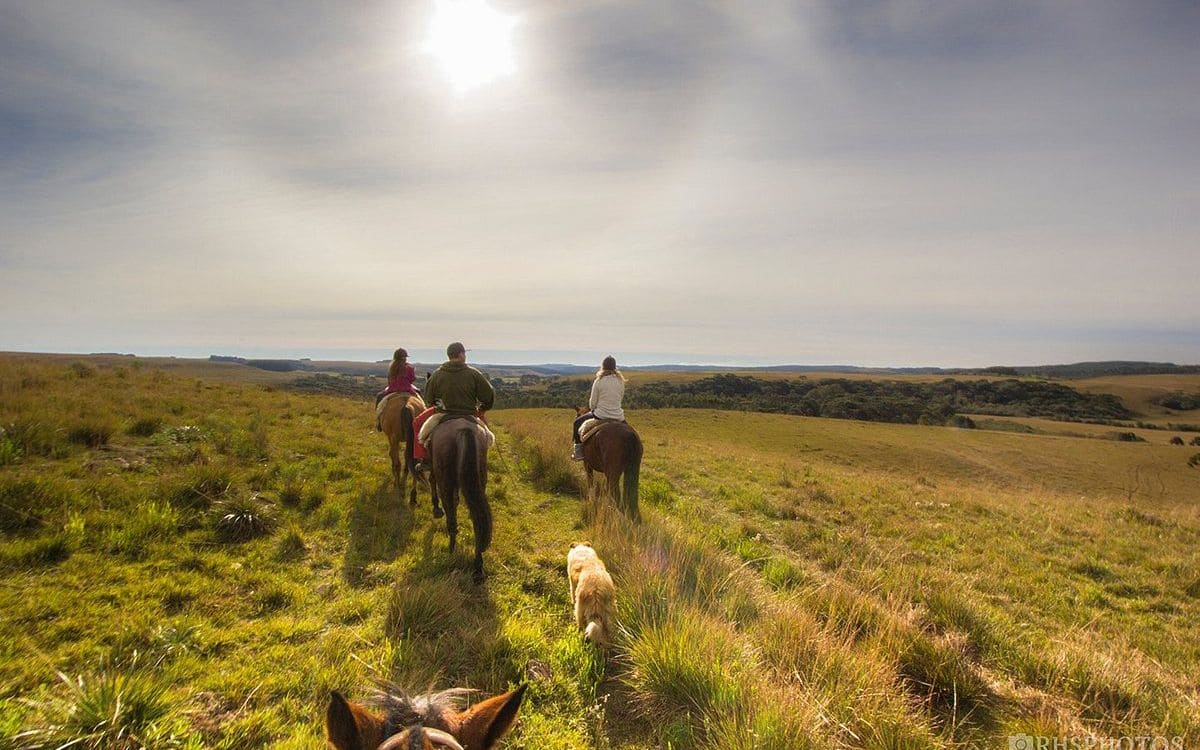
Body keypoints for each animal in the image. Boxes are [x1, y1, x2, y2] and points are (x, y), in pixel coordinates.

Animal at [427, 417, 492, 583]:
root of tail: (464, 429)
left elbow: (432, 481)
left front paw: (436, 509)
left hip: (445, 480)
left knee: (451, 516)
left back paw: (451, 553)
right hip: (480, 478)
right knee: (477, 521)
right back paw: (478, 568)